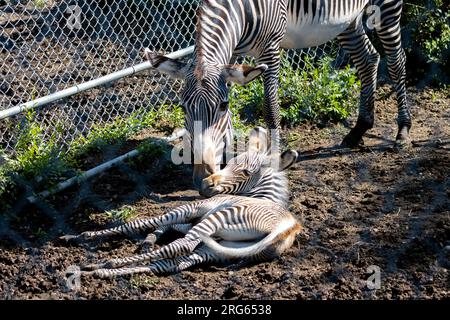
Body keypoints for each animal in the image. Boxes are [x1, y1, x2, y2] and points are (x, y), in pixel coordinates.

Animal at [61, 127, 302, 278]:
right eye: (230, 162)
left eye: (245, 172)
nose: (205, 184)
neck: (261, 196)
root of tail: (286, 228)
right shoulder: (197, 226)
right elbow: (161, 232)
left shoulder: (191, 208)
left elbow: (137, 223)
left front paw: (80, 236)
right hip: (224, 249)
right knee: (169, 263)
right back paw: (99, 270)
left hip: (219, 220)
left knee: (180, 246)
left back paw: (103, 264)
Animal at [146, 0, 410, 191]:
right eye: (183, 108)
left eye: (222, 106)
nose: (202, 173)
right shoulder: (232, 52)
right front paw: (228, 161)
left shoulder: (271, 49)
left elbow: (270, 107)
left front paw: (273, 157)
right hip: (348, 19)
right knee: (368, 59)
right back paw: (360, 128)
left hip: (386, 7)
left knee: (396, 62)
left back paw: (403, 131)